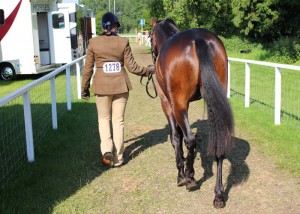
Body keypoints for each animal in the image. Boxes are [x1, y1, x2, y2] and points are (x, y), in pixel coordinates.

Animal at [150, 18, 234, 207]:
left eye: (150, 37)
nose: (153, 54)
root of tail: (198, 39)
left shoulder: (168, 104)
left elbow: (176, 137)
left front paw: (181, 174)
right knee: (219, 143)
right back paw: (218, 195)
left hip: (178, 104)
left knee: (190, 139)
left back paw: (189, 178)